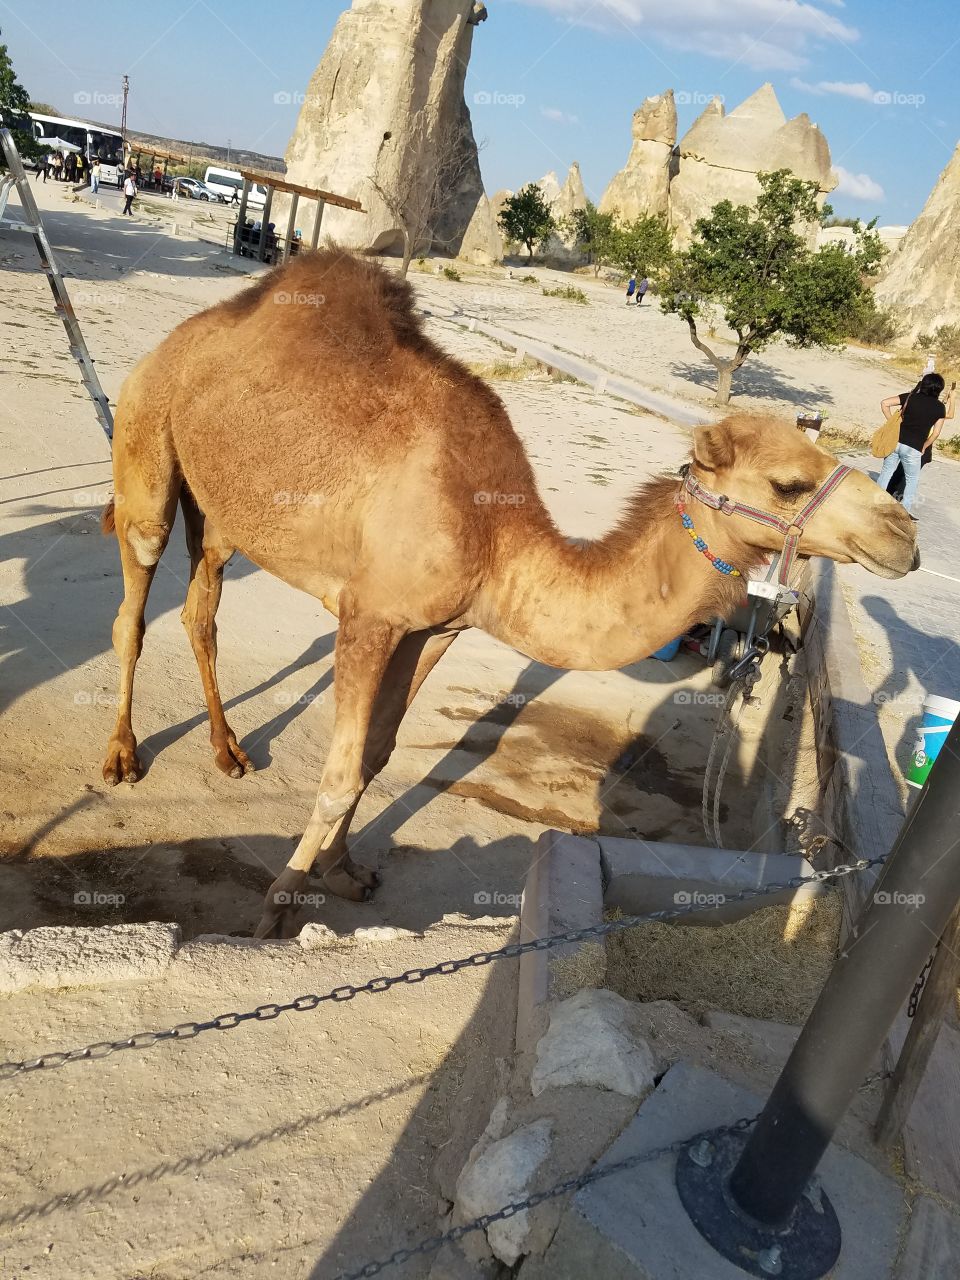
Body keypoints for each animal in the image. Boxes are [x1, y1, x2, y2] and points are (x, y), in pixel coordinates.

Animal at [97, 247, 916, 942]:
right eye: (790, 483)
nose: (904, 531)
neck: (495, 539)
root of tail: (180, 336)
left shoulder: (437, 627)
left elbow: (377, 755)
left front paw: (344, 871)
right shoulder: (369, 617)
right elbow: (338, 772)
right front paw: (278, 907)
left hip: (224, 513)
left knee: (201, 606)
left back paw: (229, 751)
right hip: (147, 444)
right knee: (132, 606)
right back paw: (122, 758)